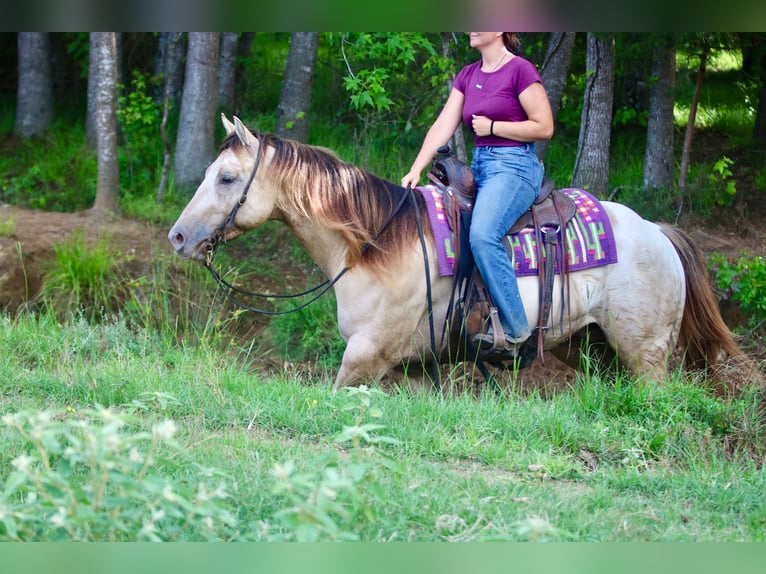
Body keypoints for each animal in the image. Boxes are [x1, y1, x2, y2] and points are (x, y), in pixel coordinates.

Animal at [168, 115, 743, 393]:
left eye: (227, 177)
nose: (177, 238)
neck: (375, 247)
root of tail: (658, 234)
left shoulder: (364, 358)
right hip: (592, 348)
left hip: (647, 357)